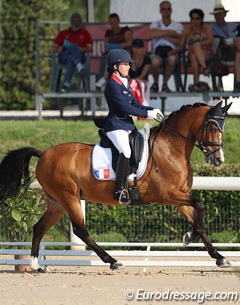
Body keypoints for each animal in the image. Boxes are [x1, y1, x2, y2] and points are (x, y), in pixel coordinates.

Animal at [0, 101, 232, 270]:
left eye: (223, 127)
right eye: (213, 127)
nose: (218, 159)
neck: (171, 148)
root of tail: (44, 154)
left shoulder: (179, 196)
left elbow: (199, 221)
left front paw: (218, 256)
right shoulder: (167, 195)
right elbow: (200, 205)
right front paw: (189, 238)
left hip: (56, 202)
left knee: (39, 228)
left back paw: (35, 265)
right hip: (69, 196)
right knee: (81, 230)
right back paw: (112, 261)